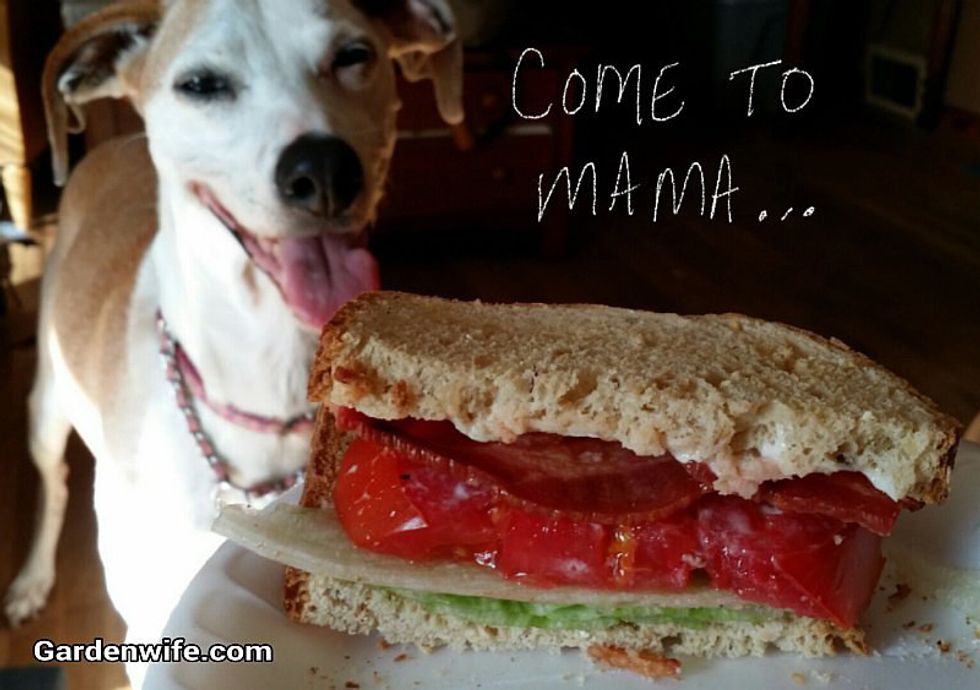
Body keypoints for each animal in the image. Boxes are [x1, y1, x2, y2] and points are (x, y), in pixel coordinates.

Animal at [4, 0, 461, 684]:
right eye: (200, 84)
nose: (324, 170)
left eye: (354, 54)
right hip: (47, 403)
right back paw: (32, 578)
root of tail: (112, 142)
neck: (269, 379)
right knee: (51, 485)